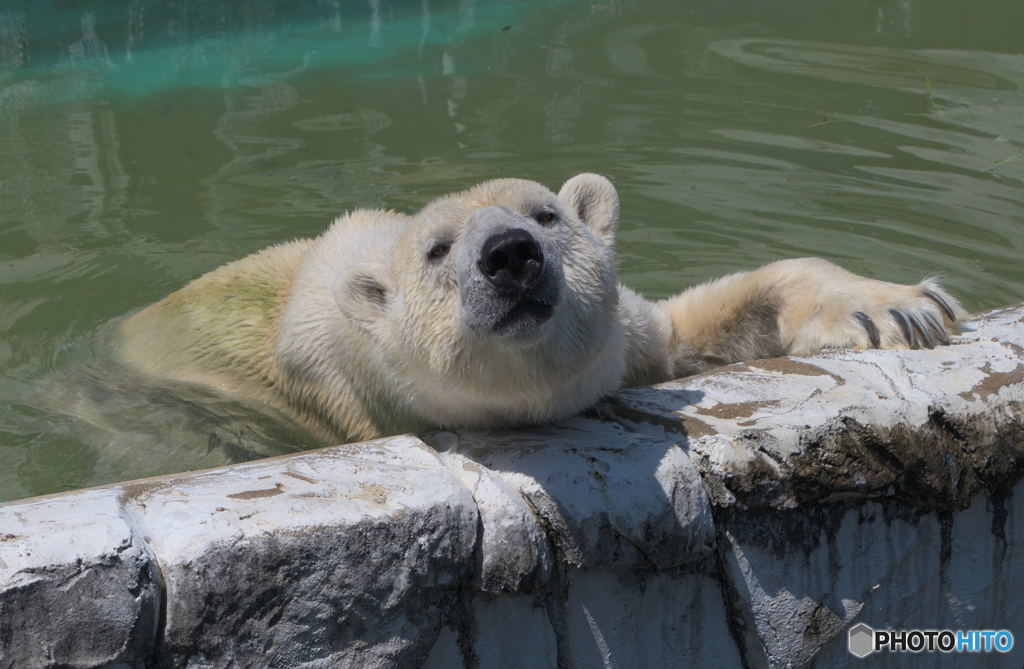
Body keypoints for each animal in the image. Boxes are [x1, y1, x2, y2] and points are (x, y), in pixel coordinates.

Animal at [116, 172, 962, 442]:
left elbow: (696, 326)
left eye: (547, 214)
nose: (509, 254)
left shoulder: (632, 339)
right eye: (438, 250)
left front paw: (902, 309)